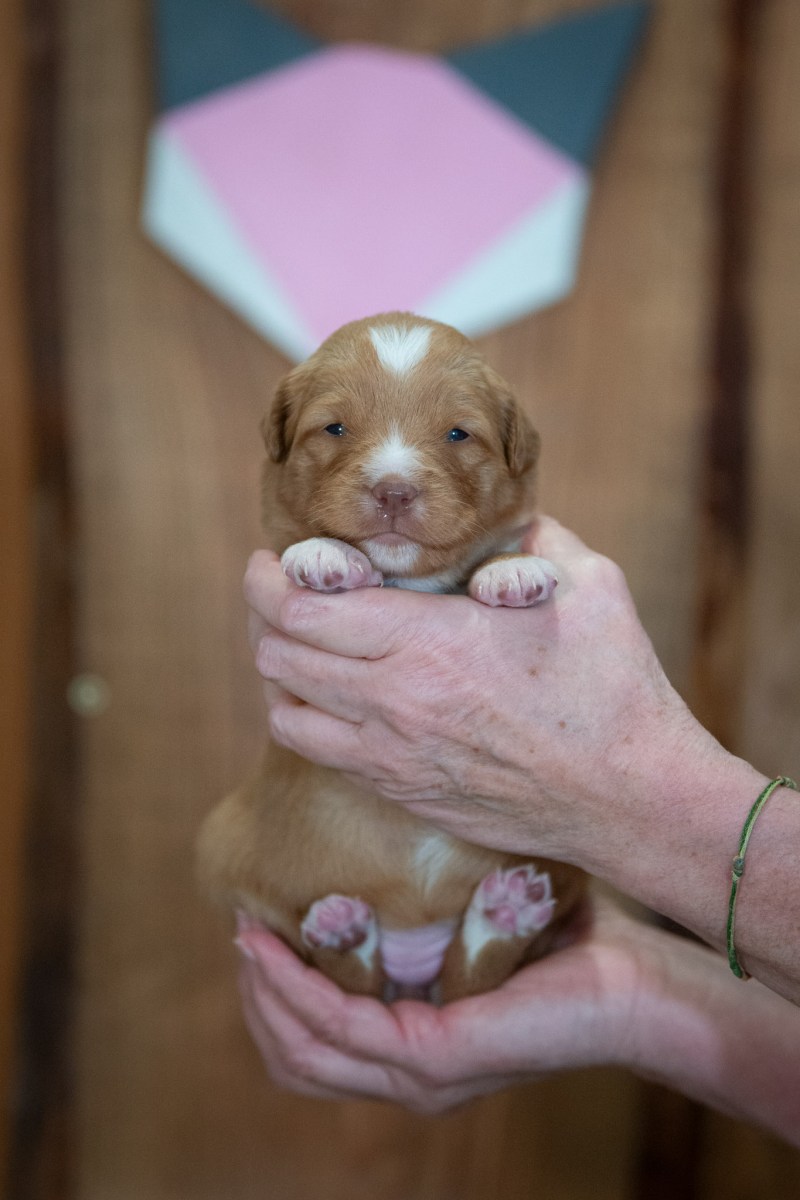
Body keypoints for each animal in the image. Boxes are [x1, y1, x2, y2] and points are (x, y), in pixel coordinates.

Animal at [198, 313, 586, 1001]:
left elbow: (498, 547)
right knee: (345, 969)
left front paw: (510, 570)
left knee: (474, 974)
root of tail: (413, 941)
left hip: (565, 867)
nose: (394, 491)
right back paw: (344, 927)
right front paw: (324, 553)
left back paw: (504, 912)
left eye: (459, 433)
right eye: (334, 428)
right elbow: (301, 541)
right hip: (230, 848)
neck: (410, 583)